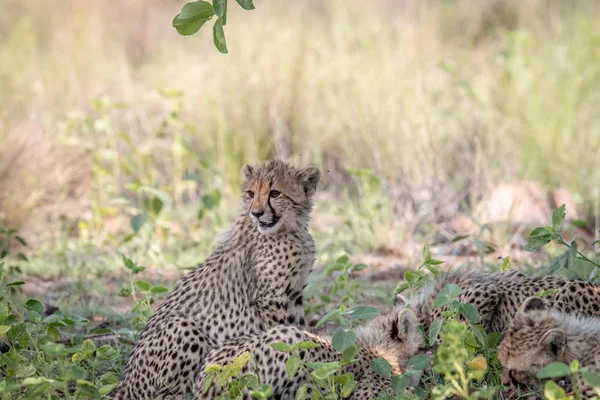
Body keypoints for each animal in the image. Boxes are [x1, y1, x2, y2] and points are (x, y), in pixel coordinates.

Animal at [112, 161, 318, 398]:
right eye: (250, 193)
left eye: (275, 193)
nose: (257, 213)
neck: (291, 227)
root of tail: (126, 381)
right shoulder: (271, 299)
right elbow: (287, 338)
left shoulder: (294, 295)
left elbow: (302, 330)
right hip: (184, 327)